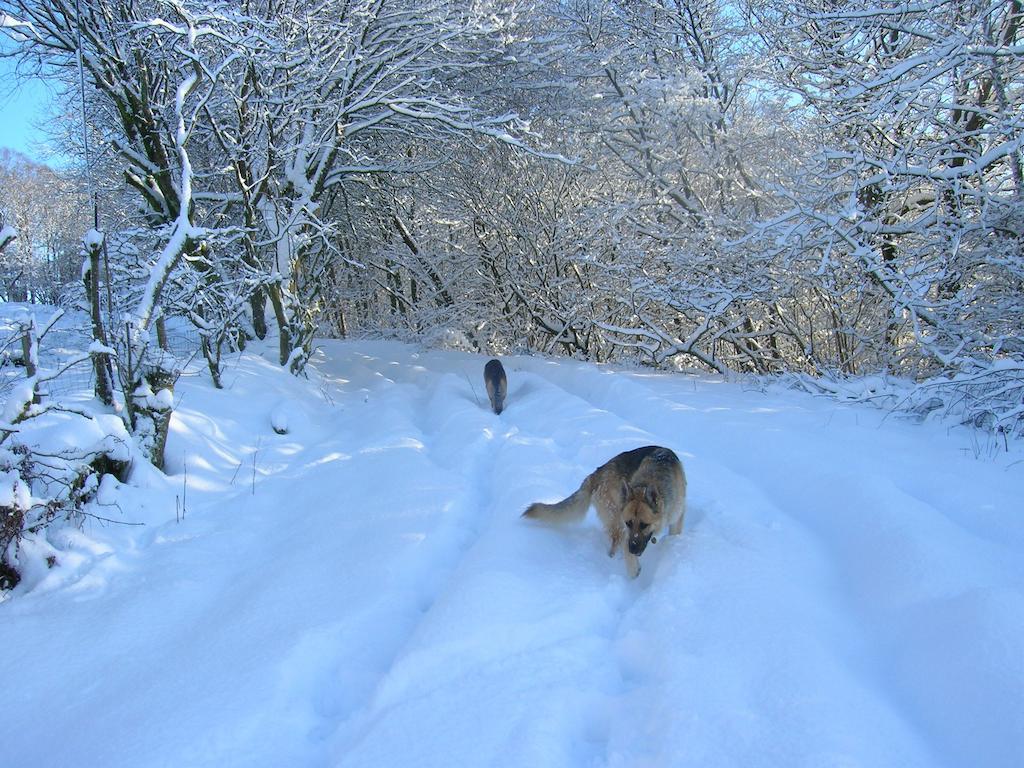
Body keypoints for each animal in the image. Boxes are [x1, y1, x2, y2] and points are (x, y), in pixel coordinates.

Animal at [524, 448, 684, 581]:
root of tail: (595, 474)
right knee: (614, 545)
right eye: (629, 523)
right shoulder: (625, 529)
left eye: (644, 525)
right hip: (616, 519)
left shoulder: (676, 517)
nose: (632, 549)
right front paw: (633, 570)